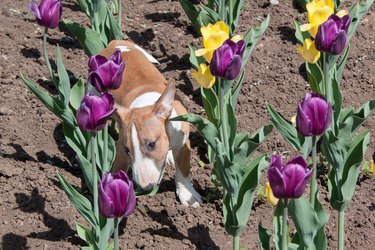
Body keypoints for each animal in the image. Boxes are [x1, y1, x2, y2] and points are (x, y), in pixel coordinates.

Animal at [99, 40, 203, 206]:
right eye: (128, 150)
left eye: (151, 144)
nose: (145, 187)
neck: (145, 103)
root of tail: (116, 44)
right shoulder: (121, 150)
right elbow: (118, 168)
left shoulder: (183, 143)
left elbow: (183, 170)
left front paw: (188, 195)